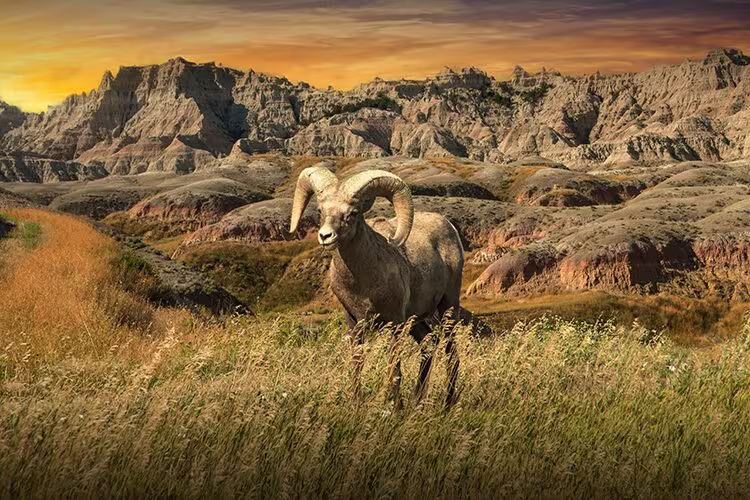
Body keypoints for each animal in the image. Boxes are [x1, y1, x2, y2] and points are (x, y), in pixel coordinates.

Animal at [289, 164, 464, 408]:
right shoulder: (354, 322)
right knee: (428, 346)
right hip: (416, 321)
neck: (363, 285)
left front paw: (394, 407)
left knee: (451, 351)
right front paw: (357, 404)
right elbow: (357, 364)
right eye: (321, 211)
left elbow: (395, 369)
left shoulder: (395, 325)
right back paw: (416, 401)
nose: (325, 236)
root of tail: (450, 228)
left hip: (447, 307)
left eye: (352, 213)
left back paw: (448, 403)